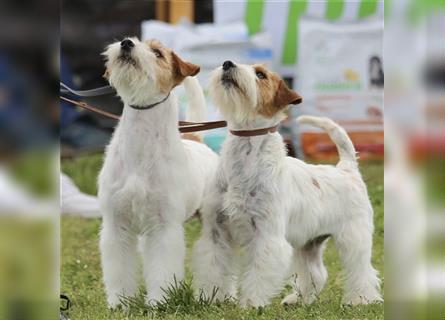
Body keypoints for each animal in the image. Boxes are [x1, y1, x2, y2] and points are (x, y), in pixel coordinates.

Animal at [100, 37, 219, 308]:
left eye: (157, 53)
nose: (126, 43)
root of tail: (197, 141)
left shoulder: (163, 227)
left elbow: (162, 268)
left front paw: (158, 302)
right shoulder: (116, 224)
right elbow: (119, 268)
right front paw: (120, 302)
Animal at [192, 60, 382, 308]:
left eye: (260, 74)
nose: (227, 64)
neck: (246, 155)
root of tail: (347, 168)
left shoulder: (266, 235)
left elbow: (258, 272)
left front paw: (251, 303)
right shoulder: (217, 232)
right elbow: (213, 267)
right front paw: (210, 297)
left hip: (354, 237)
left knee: (362, 270)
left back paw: (361, 298)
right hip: (309, 242)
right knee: (316, 273)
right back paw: (297, 299)